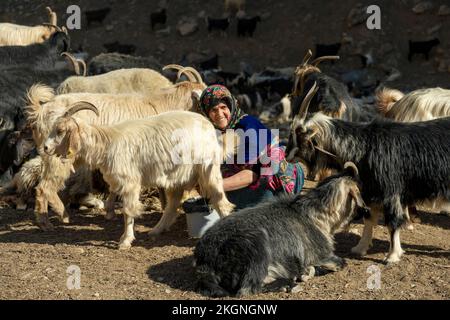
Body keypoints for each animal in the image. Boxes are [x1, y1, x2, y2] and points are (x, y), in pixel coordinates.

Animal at [44, 106, 236, 249]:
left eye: (60, 130)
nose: (45, 148)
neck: (107, 143)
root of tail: (210, 127)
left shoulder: (130, 182)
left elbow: (128, 211)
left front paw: (125, 241)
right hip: (177, 177)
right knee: (173, 205)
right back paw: (156, 230)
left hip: (208, 169)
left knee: (220, 201)